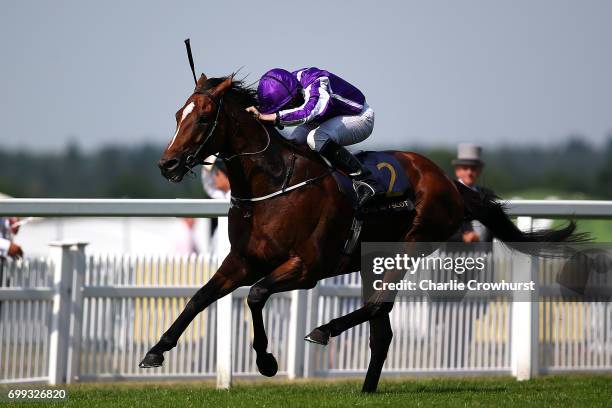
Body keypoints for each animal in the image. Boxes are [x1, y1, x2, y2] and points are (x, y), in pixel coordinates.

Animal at [140, 73, 584, 392]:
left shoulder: (307, 267)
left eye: (202, 118)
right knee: (381, 329)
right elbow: (200, 297)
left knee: (378, 305)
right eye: (177, 114)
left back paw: (323, 331)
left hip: (409, 247)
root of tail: (450, 182)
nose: (167, 164)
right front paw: (155, 351)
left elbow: (256, 295)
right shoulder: (244, 259)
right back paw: (366, 388)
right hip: (374, 259)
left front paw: (266, 361)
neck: (275, 182)